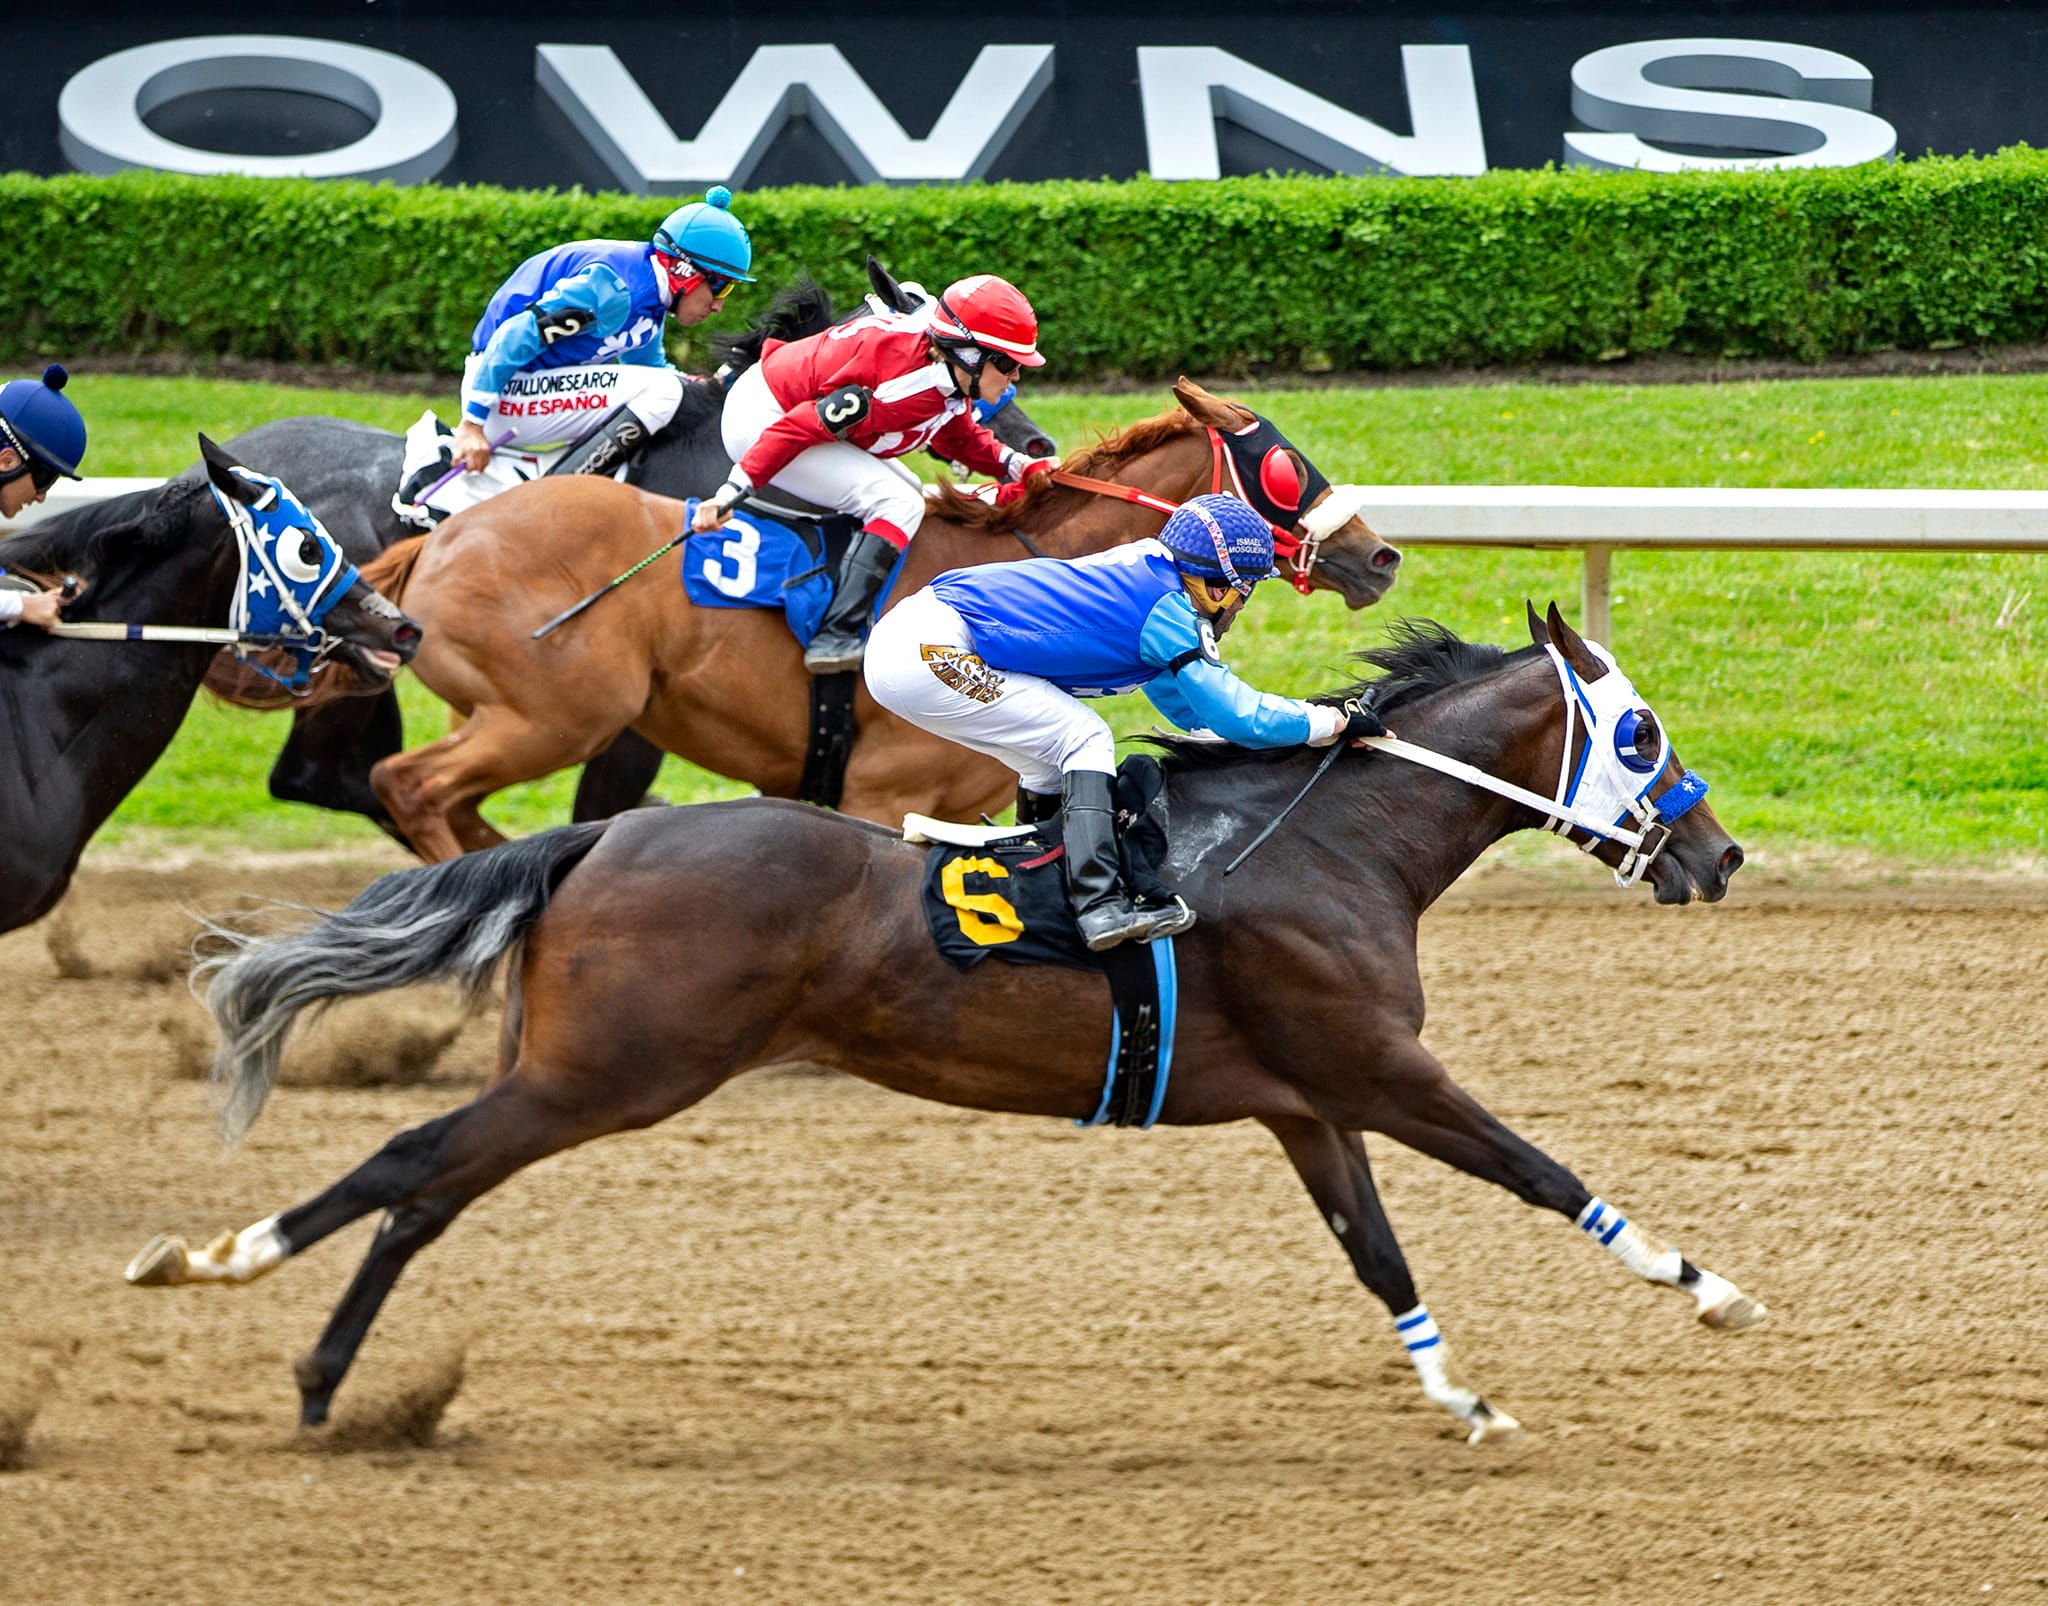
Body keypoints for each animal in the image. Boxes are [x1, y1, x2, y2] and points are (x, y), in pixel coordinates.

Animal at [132, 602, 1761, 1442]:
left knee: (429, 1189)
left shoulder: (1307, 1098)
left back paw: (301, 1347)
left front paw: (1461, 1394)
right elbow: (1539, 1169)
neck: (1322, 842)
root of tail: (600, 840)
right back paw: (244, 1292)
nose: (1719, 852)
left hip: (588, 1069)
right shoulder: (1377, 1063)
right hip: (613, 1067)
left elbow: (1380, 1256)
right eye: (1639, 732)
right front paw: (1708, 1286)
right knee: (415, 1163)